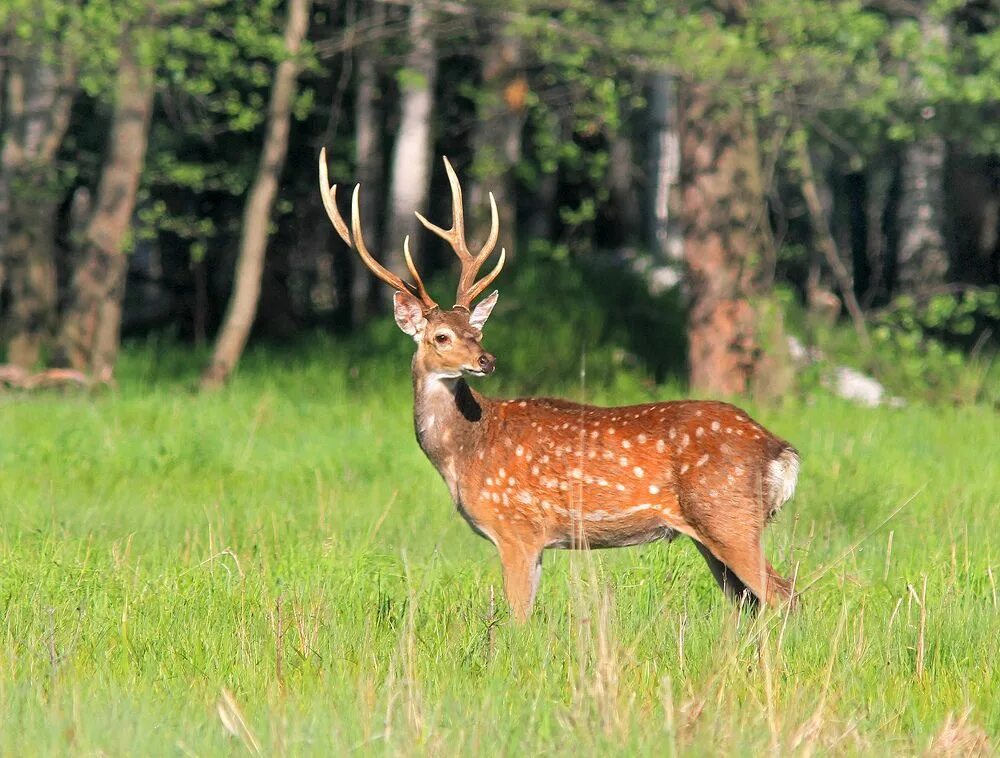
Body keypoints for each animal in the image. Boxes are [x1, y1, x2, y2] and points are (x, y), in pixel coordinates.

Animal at [319, 149, 800, 621]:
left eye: (477, 332)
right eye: (442, 336)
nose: (485, 360)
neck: (464, 453)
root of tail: (781, 450)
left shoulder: (516, 527)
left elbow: (516, 618)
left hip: (728, 515)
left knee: (785, 595)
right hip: (712, 531)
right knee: (748, 604)